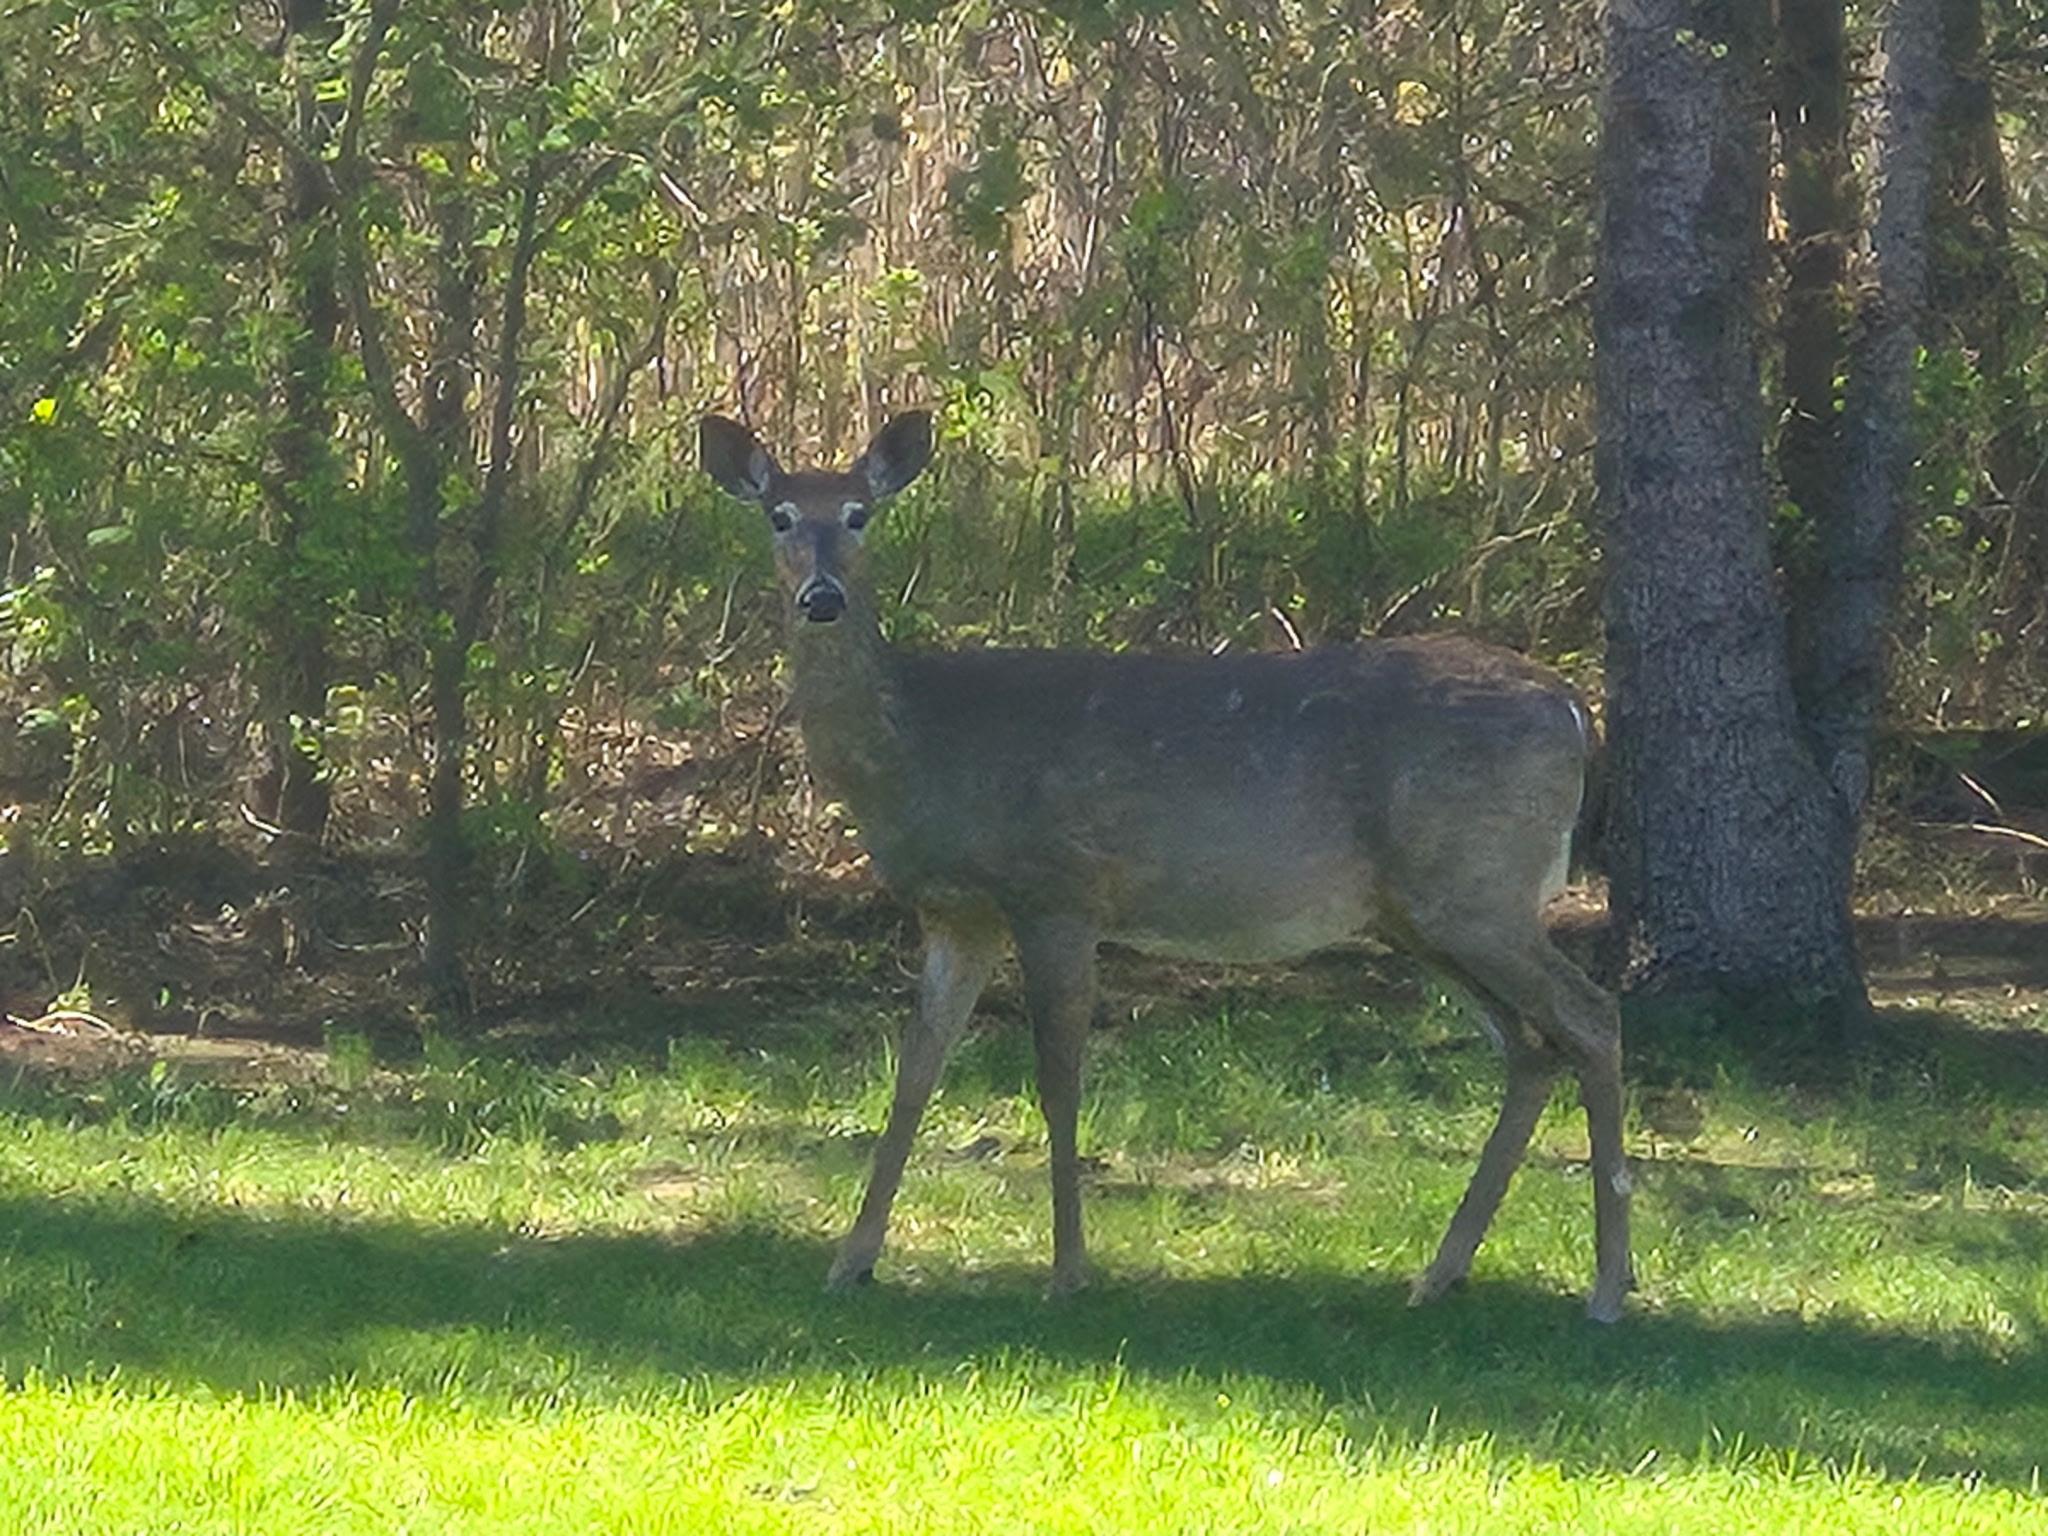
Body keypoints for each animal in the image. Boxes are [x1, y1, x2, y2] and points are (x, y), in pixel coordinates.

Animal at [700, 410, 1634, 1322]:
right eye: (780, 516)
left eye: (860, 514)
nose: (823, 598)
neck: (924, 746)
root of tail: (1572, 707)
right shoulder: (957, 914)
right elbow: (915, 1075)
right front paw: (851, 1262)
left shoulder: (1058, 889)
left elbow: (1059, 1078)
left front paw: (1069, 1272)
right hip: (1422, 912)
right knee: (1531, 1049)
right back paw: (1440, 1275)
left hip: (1477, 886)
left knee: (1591, 1017)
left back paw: (1608, 1287)